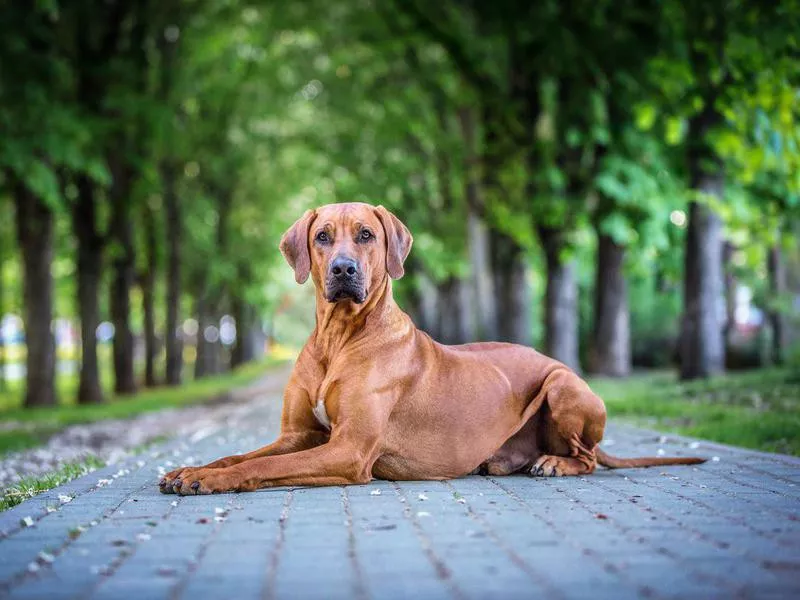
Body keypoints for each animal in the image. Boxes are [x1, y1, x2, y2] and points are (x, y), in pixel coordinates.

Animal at [159, 204, 704, 494]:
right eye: (322, 236)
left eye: (366, 235)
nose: (343, 269)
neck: (339, 339)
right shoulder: (299, 435)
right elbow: (237, 454)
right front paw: (192, 469)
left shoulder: (349, 450)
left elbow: (261, 466)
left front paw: (210, 481)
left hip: (563, 384)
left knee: (587, 457)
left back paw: (554, 463)